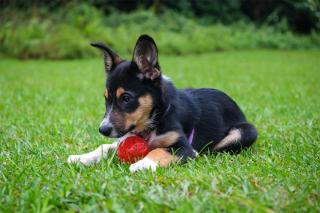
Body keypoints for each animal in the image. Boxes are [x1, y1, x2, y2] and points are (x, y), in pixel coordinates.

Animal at [68, 34, 258, 172]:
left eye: (126, 98)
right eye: (106, 98)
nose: (103, 129)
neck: (156, 119)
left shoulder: (184, 148)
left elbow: (158, 150)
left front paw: (143, 164)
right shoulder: (125, 136)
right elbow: (105, 146)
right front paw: (82, 157)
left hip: (246, 131)